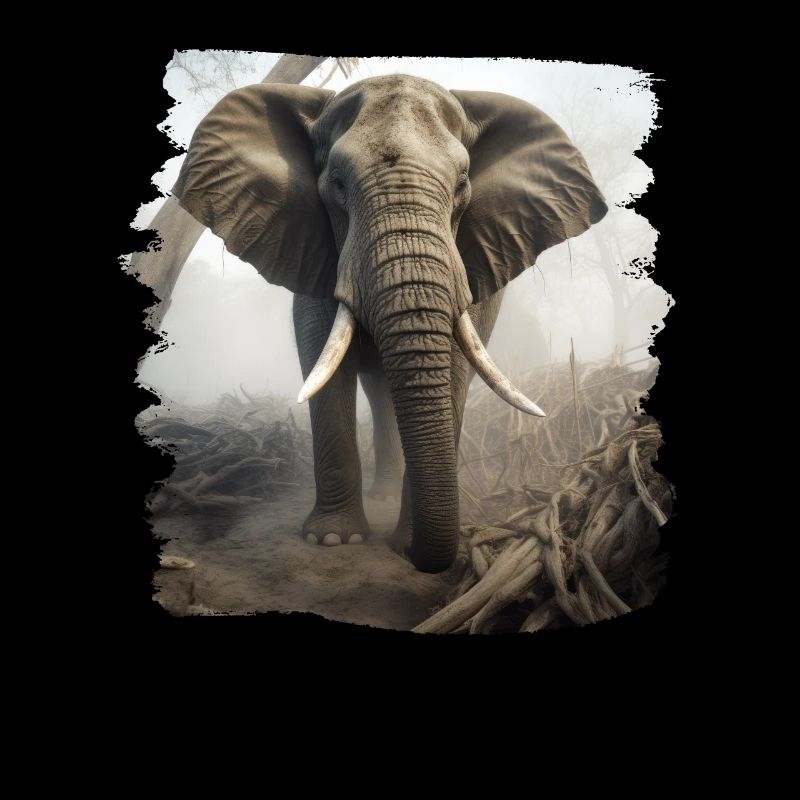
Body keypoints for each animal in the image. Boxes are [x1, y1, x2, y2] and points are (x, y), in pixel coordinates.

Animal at [172, 74, 607, 573]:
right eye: (337, 185)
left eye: (462, 185)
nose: (418, 557)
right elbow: (323, 360)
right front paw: (333, 540)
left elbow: (455, 365)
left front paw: (401, 541)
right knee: (379, 391)